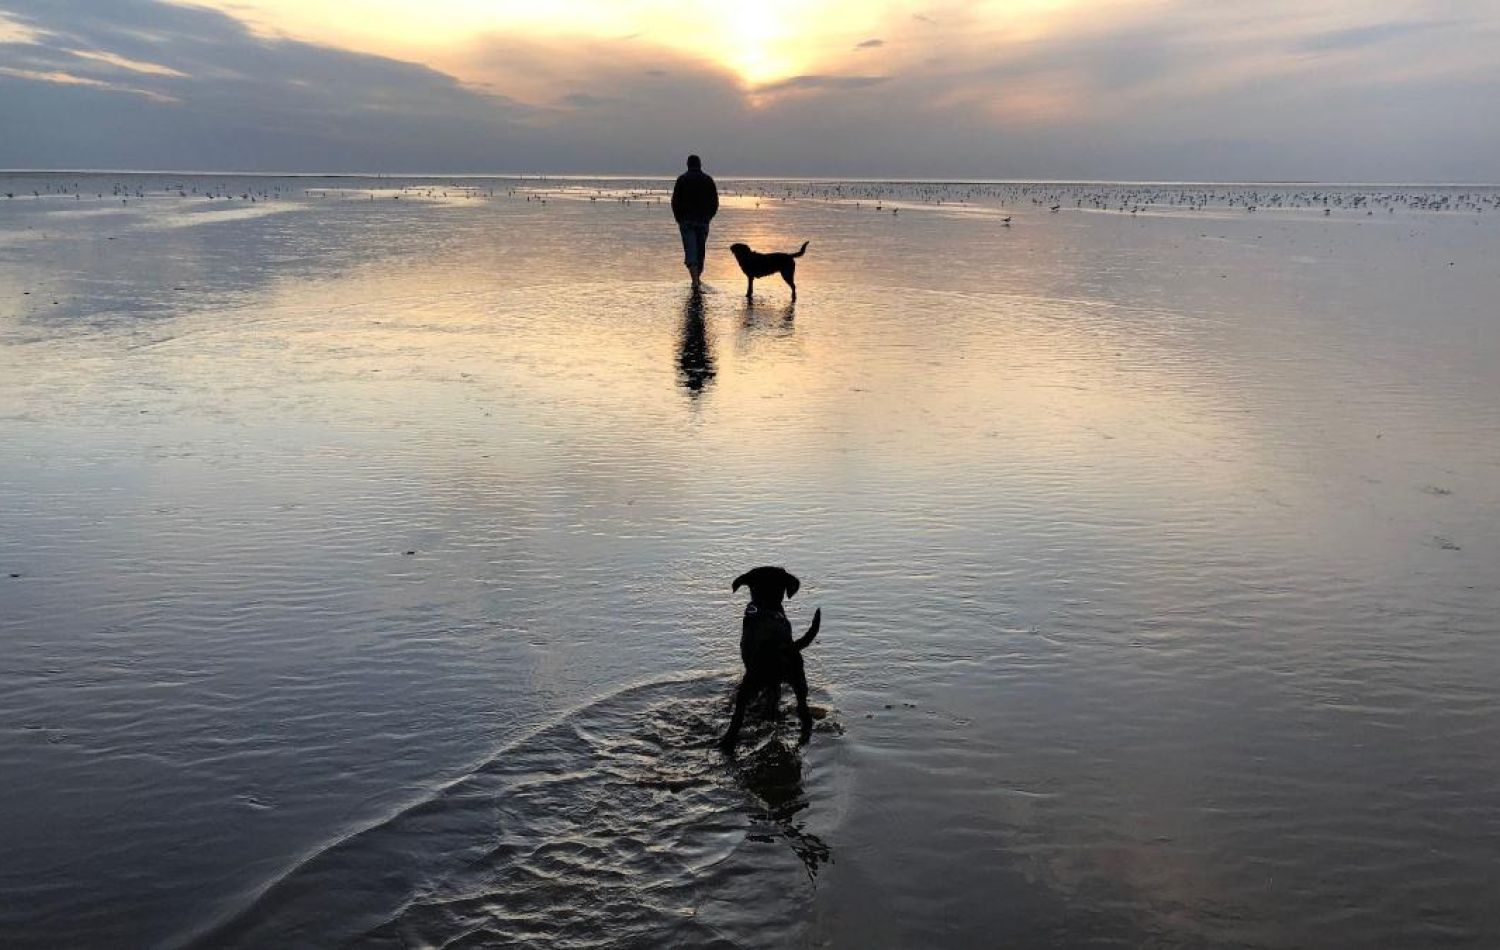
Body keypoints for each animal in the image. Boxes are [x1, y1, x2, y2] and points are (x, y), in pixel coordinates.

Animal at [723, 564, 828, 747]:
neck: (767, 606)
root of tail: (781, 647)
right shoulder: (776, 683)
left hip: (750, 681)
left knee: (738, 717)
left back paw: (726, 741)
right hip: (799, 682)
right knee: (803, 712)